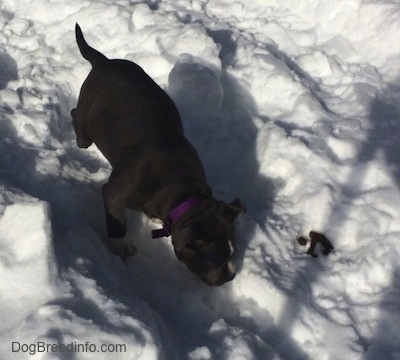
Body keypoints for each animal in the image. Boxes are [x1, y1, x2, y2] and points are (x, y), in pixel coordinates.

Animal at [72, 23, 247, 286]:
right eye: (212, 261)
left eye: (233, 253)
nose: (230, 277)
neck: (185, 193)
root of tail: (104, 62)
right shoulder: (114, 195)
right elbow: (116, 223)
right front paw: (121, 247)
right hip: (87, 121)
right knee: (76, 117)